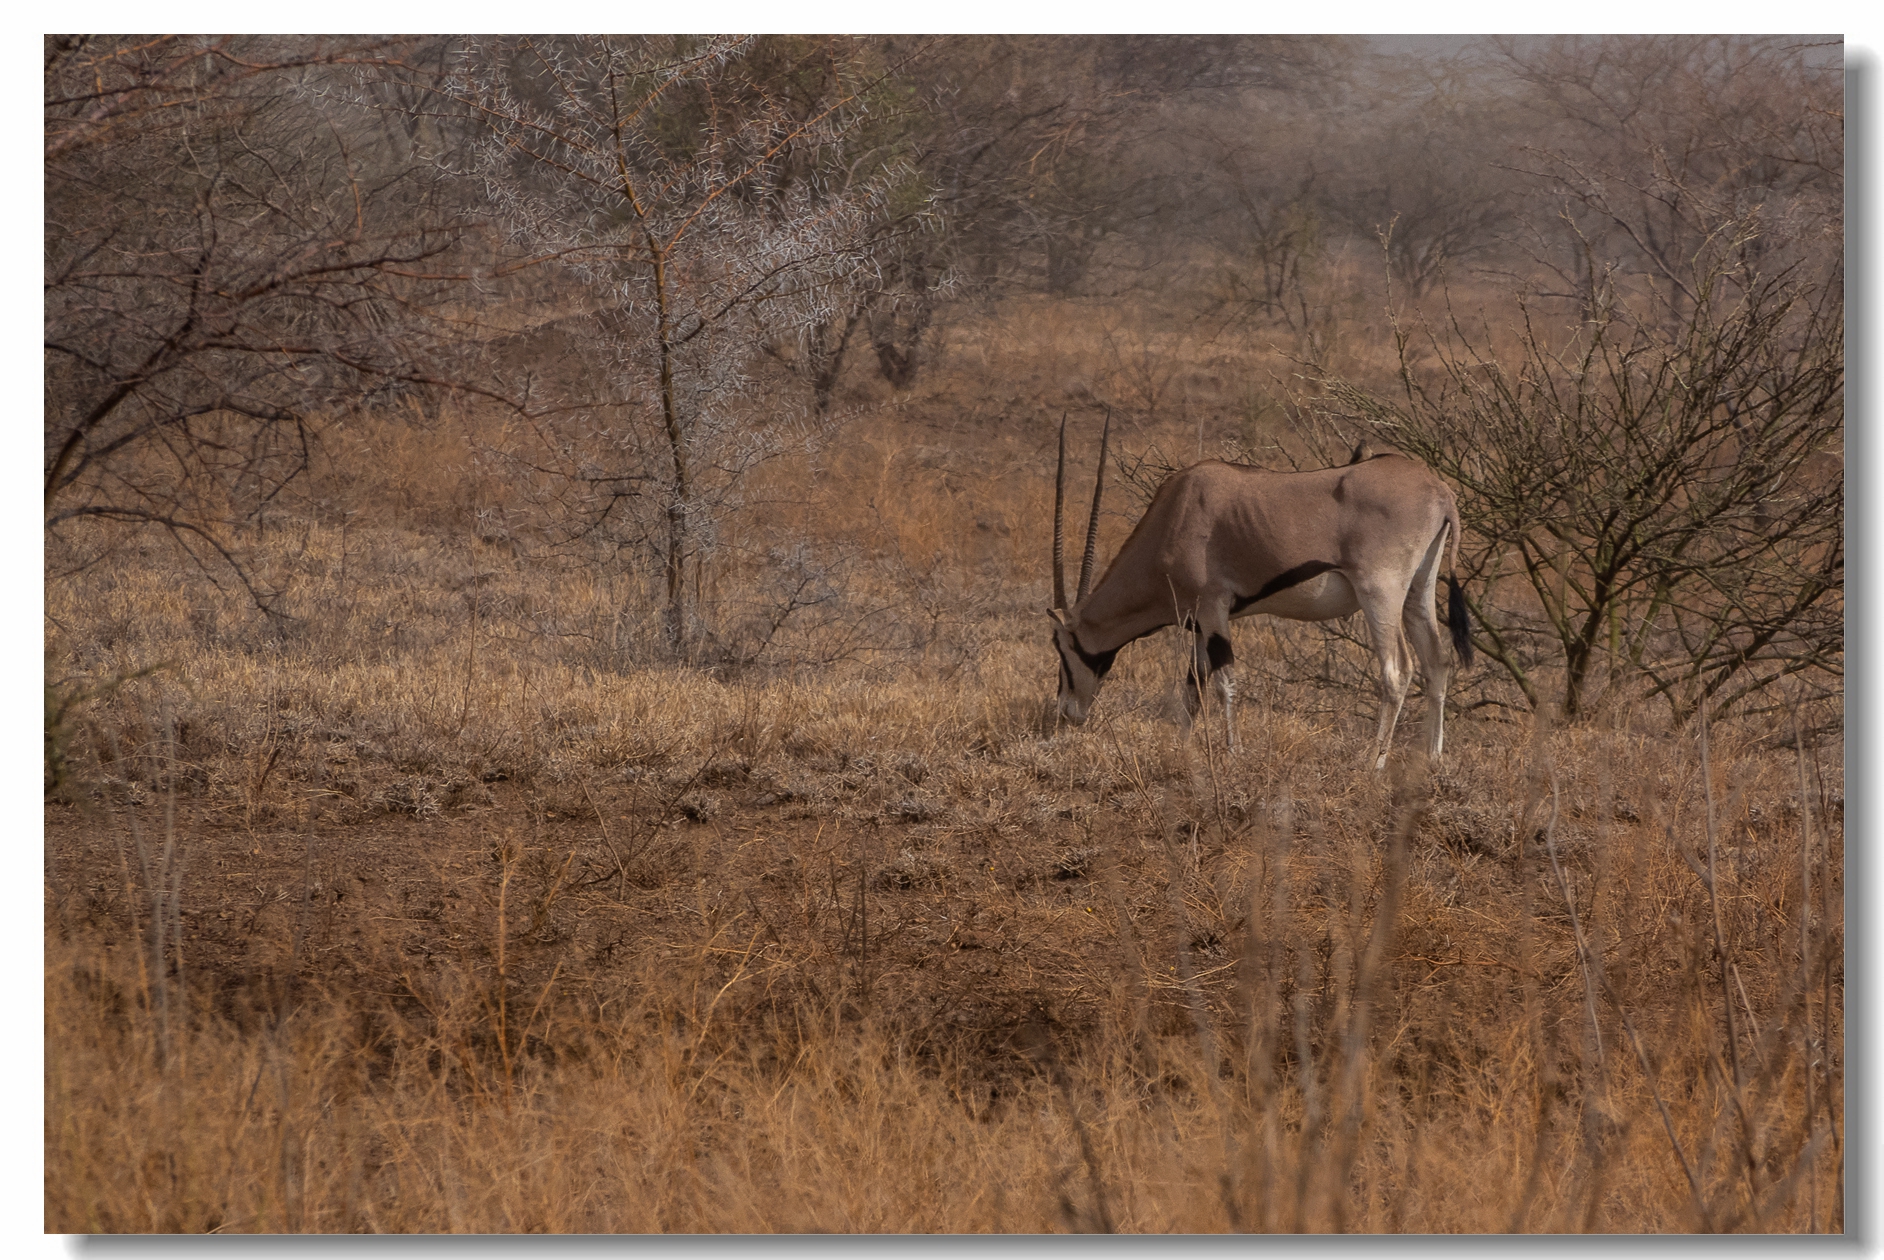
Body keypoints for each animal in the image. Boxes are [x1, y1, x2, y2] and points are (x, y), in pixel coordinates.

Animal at [1047, 418, 1469, 768]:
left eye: (1060, 646)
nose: (1067, 712)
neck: (1174, 517)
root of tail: (1440, 492)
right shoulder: (1199, 622)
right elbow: (1193, 687)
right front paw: (1182, 748)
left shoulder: (1213, 607)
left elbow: (1224, 682)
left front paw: (1232, 753)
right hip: (1418, 592)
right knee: (1437, 661)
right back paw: (1433, 759)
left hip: (1380, 593)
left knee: (1397, 670)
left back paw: (1373, 763)